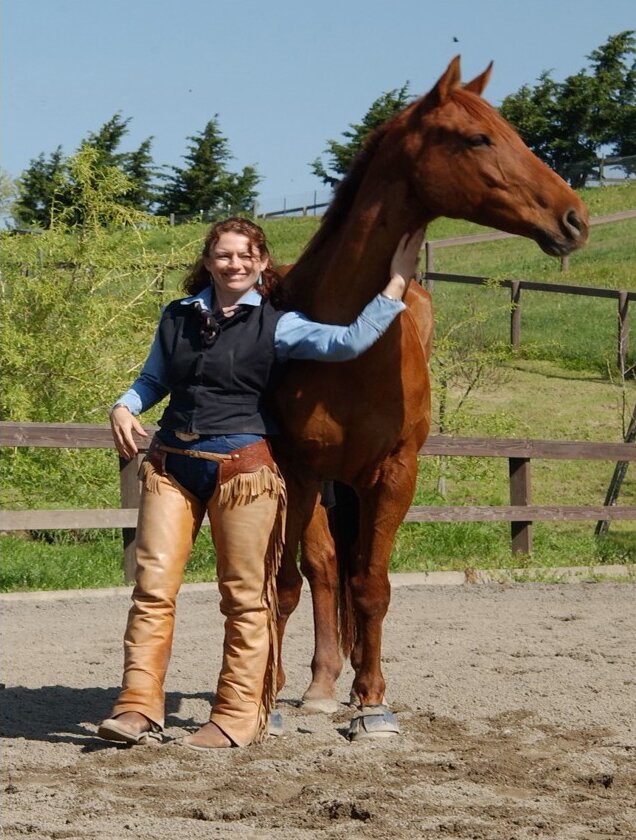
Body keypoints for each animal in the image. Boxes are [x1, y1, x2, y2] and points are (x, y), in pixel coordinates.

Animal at [272, 56, 589, 739]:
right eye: (478, 138)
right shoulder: (298, 469)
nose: (574, 217)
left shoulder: (396, 474)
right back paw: (316, 685)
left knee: (348, 574)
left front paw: (372, 702)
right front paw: (268, 695)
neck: (343, 332)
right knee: (323, 569)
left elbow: (374, 588)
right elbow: (287, 583)